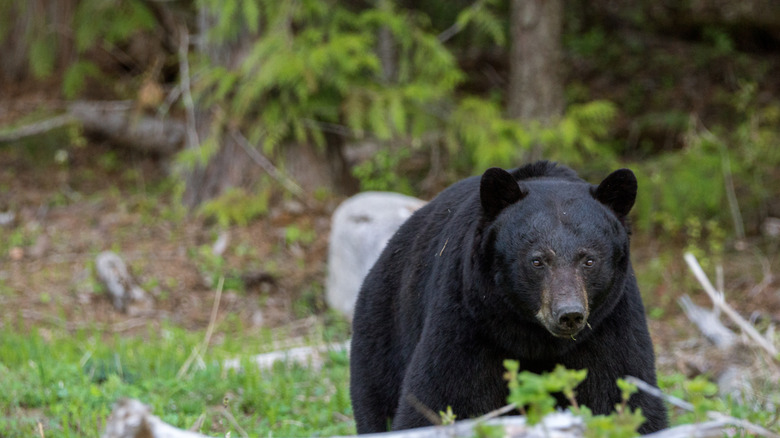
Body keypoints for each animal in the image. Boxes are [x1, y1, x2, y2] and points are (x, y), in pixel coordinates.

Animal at [349, 161, 668, 434]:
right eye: (537, 260)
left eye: (589, 260)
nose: (569, 314)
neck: (536, 339)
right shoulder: (468, 319)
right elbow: (441, 396)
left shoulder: (609, 325)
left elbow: (624, 393)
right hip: (384, 332)